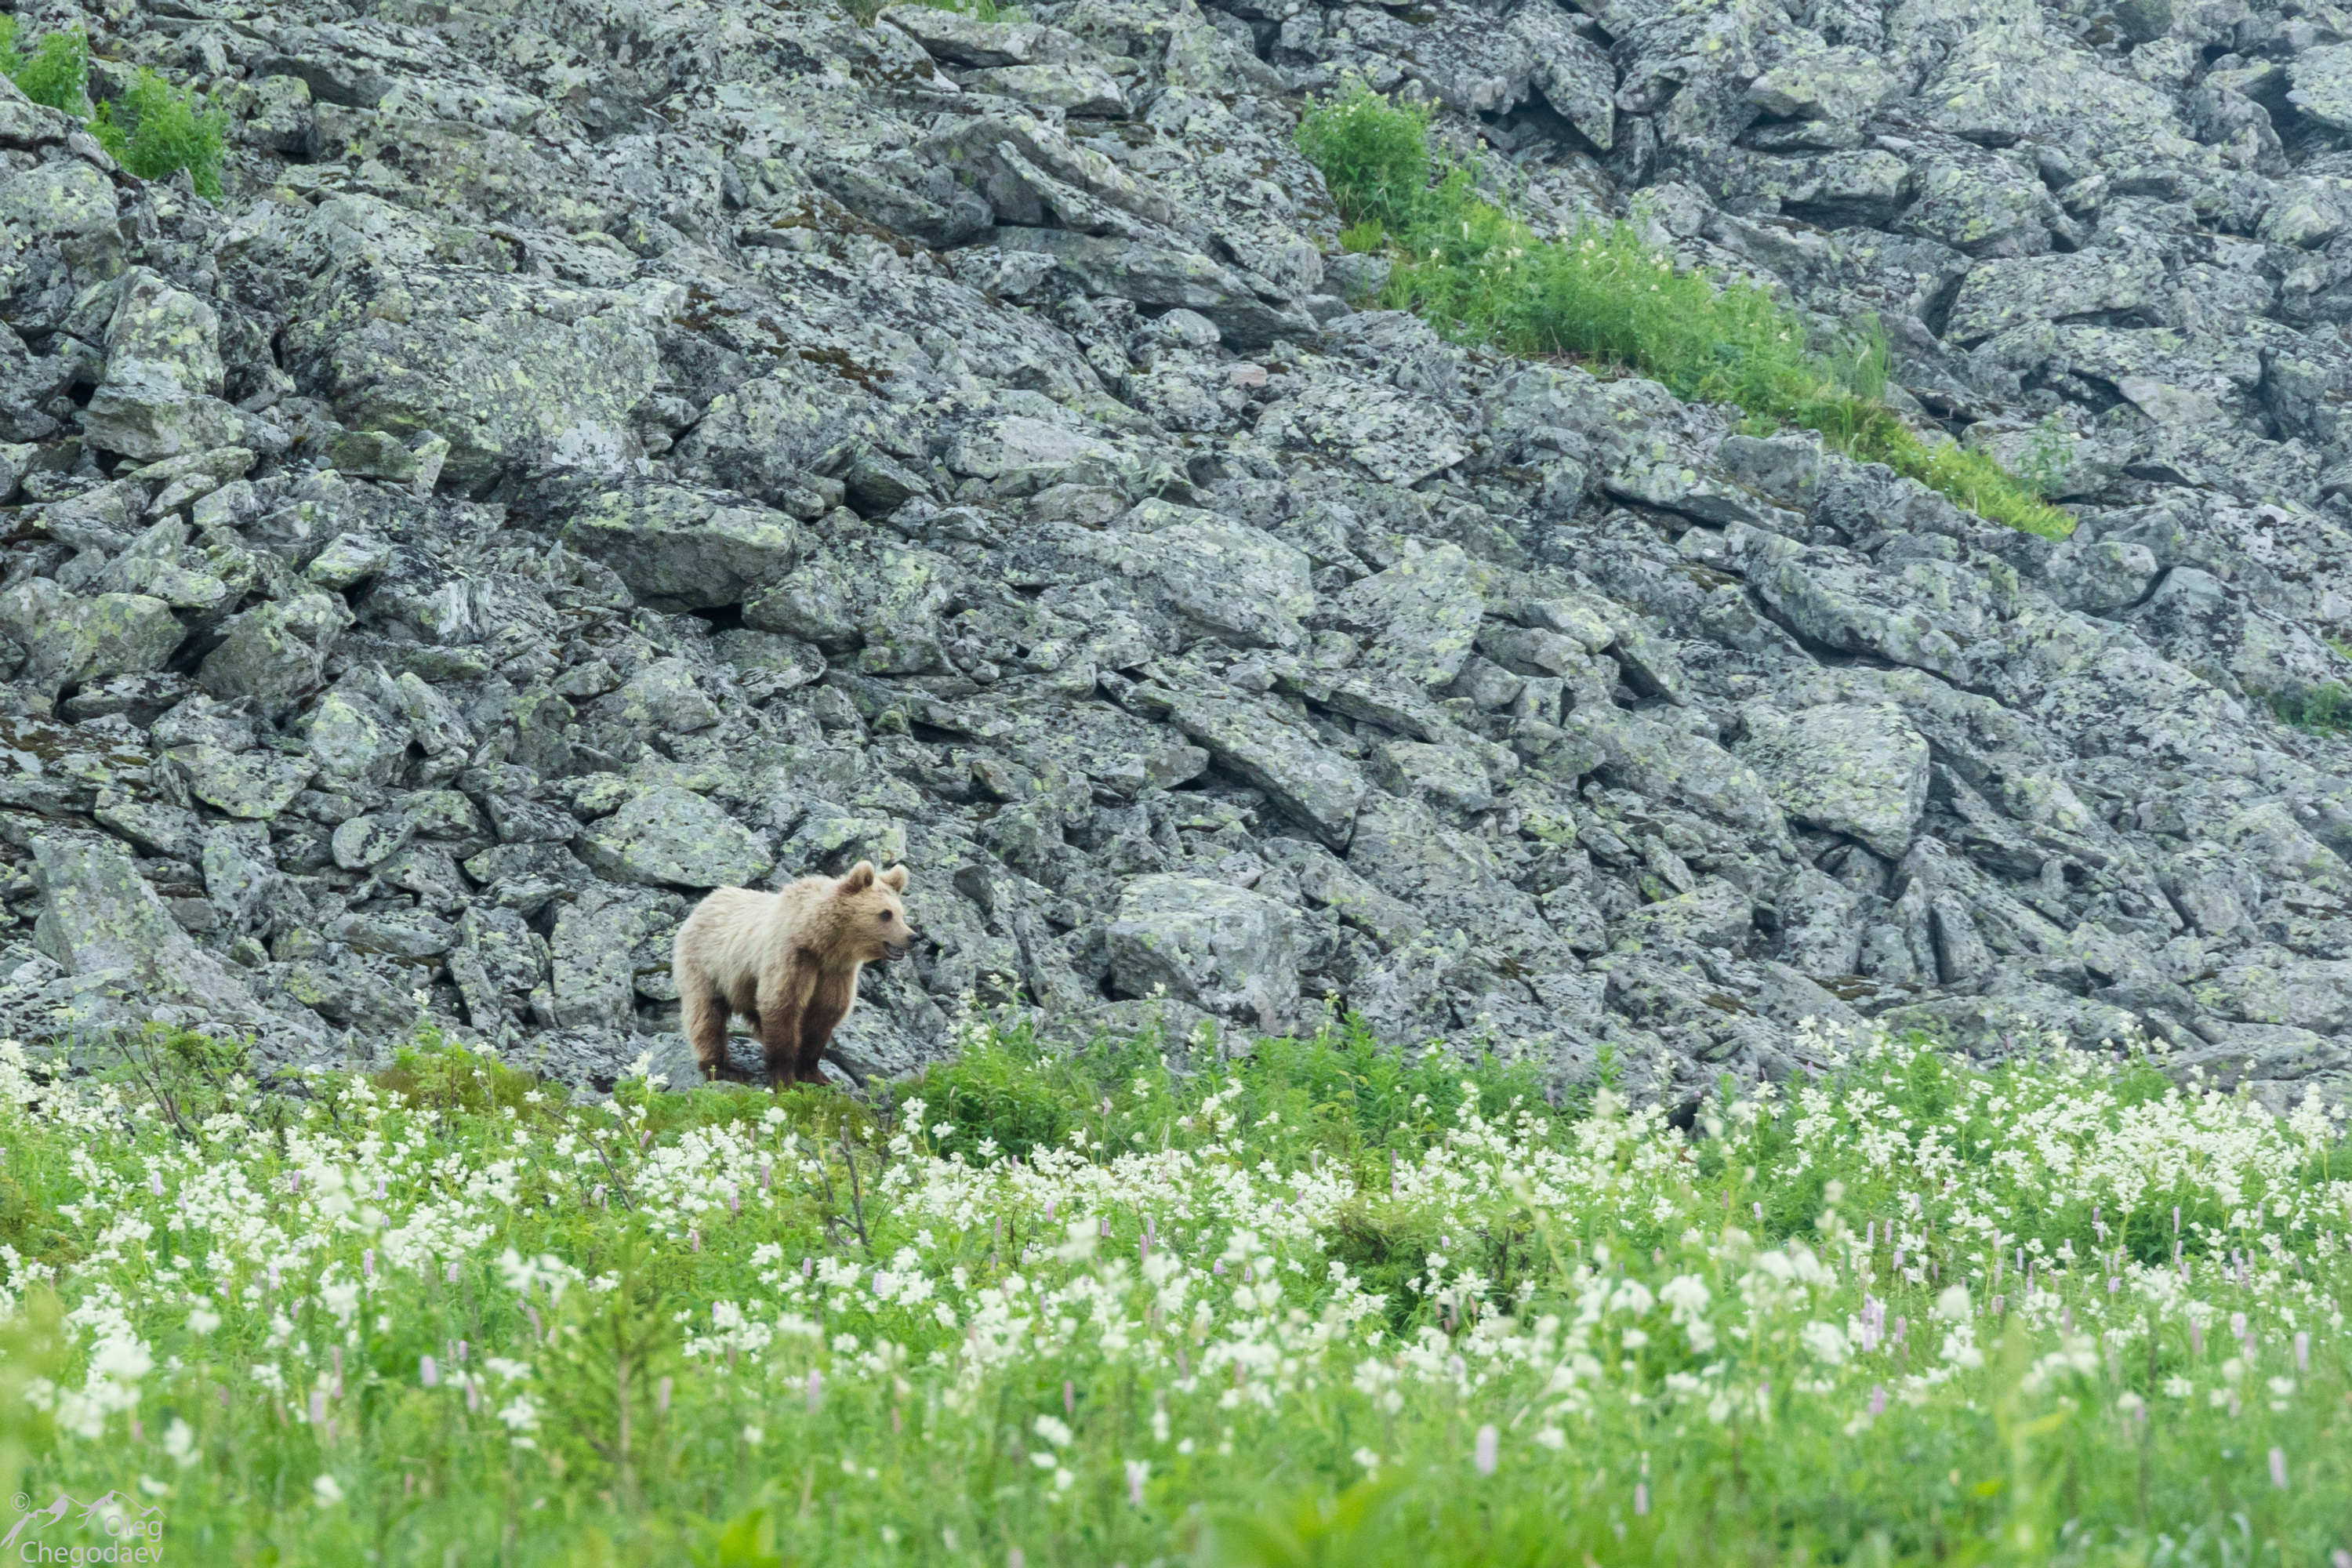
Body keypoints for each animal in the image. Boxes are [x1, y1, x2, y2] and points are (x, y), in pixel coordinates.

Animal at [677, 860, 913, 1091]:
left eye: (902, 914)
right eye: (885, 914)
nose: (913, 937)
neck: (820, 943)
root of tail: (706, 901)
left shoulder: (836, 972)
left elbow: (823, 1016)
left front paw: (816, 1075)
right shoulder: (792, 958)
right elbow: (782, 1006)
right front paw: (785, 1079)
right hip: (706, 965)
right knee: (707, 1015)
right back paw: (723, 1069)